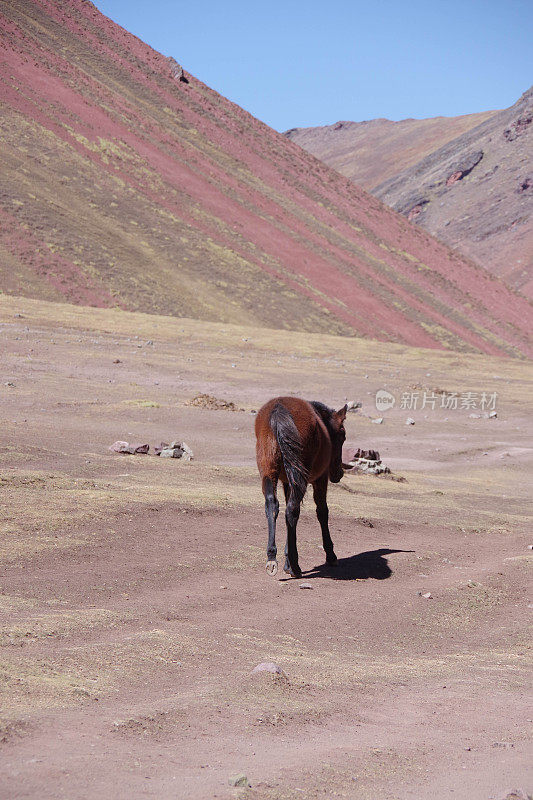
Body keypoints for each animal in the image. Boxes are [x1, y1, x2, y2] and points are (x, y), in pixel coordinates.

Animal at [255, 398, 348, 576]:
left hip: (269, 470)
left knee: (273, 505)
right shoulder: (320, 479)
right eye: (342, 436)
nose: (339, 473)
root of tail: (278, 409)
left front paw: (286, 561)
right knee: (293, 509)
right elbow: (322, 512)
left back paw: (272, 557)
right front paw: (331, 555)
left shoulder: (287, 482)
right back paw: (295, 566)